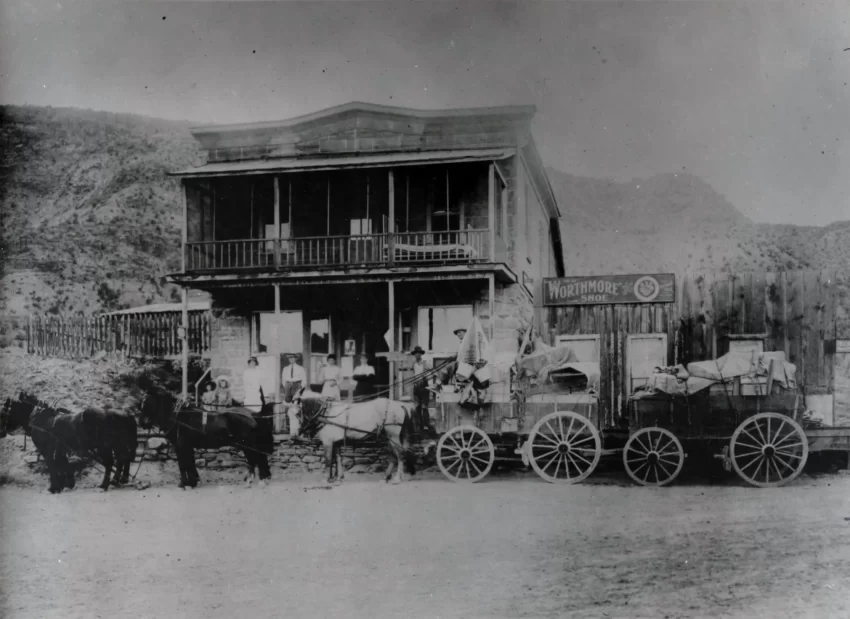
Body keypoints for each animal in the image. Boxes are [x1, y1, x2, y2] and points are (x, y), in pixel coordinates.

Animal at [1, 394, 137, 492]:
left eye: (4, 412)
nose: (3, 432)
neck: (39, 419)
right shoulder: (60, 446)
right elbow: (61, 462)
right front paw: (67, 484)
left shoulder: (46, 448)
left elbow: (52, 464)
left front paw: (55, 487)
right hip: (115, 445)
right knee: (122, 459)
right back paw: (118, 480)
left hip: (104, 446)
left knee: (111, 463)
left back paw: (105, 485)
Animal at [137, 392, 274, 490]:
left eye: (147, 404)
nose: (142, 423)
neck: (179, 417)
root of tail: (254, 415)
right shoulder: (187, 446)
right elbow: (190, 462)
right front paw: (193, 481)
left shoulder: (181, 446)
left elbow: (184, 464)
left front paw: (186, 484)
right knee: (257, 460)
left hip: (248, 445)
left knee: (257, 460)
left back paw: (258, 481)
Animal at [286, 392, 416, 484]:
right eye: (288, 415)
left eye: (297, 414)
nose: (292, 436)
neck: (326, 412)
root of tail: (400, 404)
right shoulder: (336, 441)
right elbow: (337, 458)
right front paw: (338, 478)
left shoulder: (328, 441)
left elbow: (328, 459)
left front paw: (326, 479)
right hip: (388, 436)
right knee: (393, 455)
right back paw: (386, 477)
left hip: (393, 435)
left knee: (400, 454)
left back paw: (397, 478)